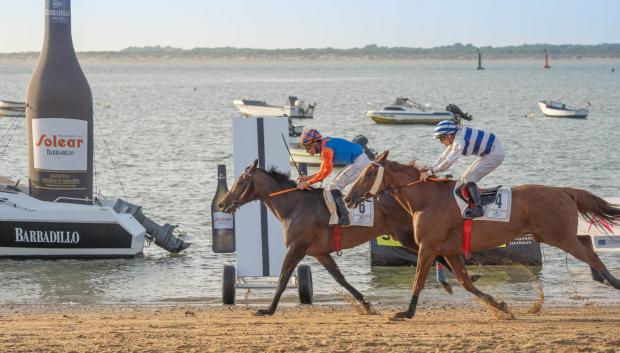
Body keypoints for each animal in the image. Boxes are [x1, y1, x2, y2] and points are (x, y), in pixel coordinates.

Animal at [218, 160, 450, 316]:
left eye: (241, 181)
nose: (222, 203)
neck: (294, 206)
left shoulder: (295, 248)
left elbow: (282, 280)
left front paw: (268, 309)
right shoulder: (321, 253)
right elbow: (340, 278)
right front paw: (365, 304)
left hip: (406, 236)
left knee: (437, 254)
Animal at [344, 149, 620, 320]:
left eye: (368, 173)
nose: (348, 198)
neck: (427, 199)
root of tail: (563, 190)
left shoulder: (428, 247)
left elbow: (419, 280)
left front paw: (405, 313)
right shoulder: (449, 250)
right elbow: (466, 282)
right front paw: (501, 307)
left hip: (560, 236)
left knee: (591, 255)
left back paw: (613, 282)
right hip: (558, 235)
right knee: (587, 245)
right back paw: (602, 279)